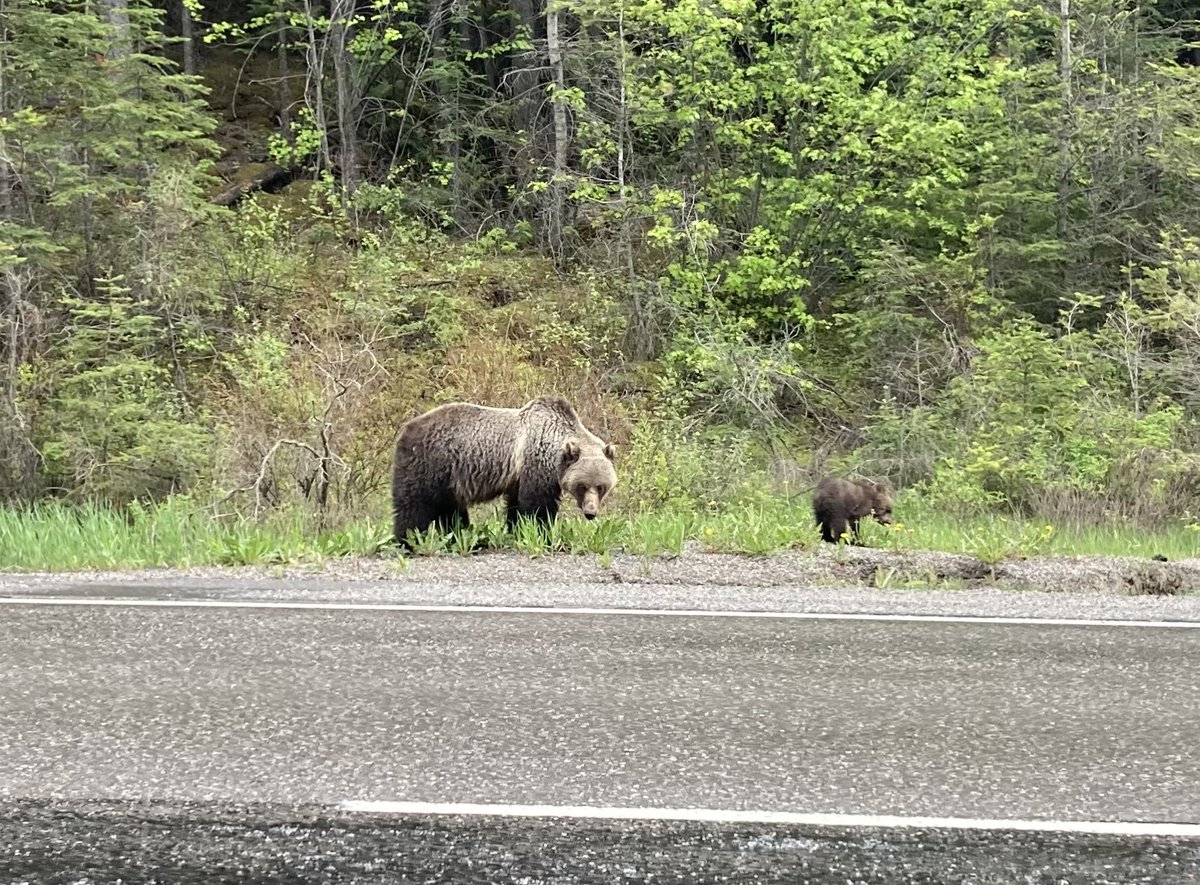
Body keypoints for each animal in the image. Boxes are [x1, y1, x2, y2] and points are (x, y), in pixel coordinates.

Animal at [390, 396, 617, 546]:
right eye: (582, 486)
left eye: (601, 487)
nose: (590, 513)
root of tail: (406, 428)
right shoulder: (534, 464)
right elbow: (537, 505)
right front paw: (542, 535)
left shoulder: (517, 476)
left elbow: (516, 505)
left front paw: (517, 531)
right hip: (430, 463)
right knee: (414, 504)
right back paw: (407, 540)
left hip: (449, 479)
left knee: (450, 510)